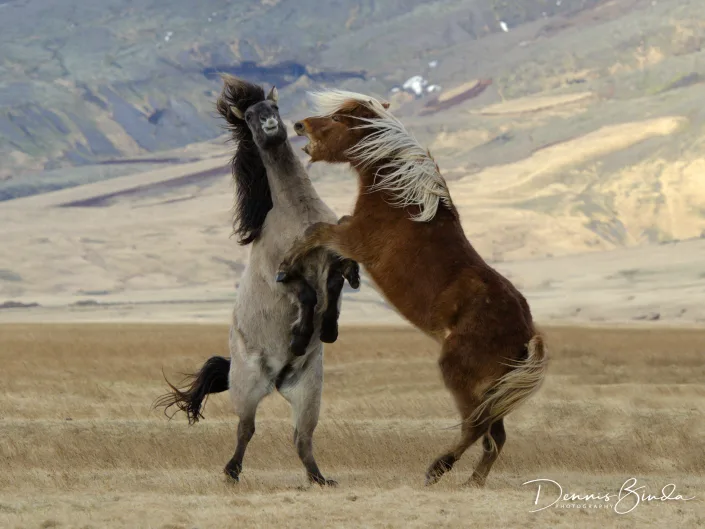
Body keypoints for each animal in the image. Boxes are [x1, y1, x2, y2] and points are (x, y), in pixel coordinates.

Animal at [155, 78, 358, 486]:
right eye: (248, 116)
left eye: (274, 108)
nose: (269, 124)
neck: (298, 213)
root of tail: (277, 379)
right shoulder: (280, 275)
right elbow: (307, 294)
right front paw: (301, 335)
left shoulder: (333, 257)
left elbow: (335, 282)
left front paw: (328, 329)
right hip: (246, 388)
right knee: (245, 429)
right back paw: (231, 472)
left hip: (308, 392)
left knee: (302, 438)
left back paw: (319, 478)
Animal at [276, 90, 547, 487]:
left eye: (339, 119)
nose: (299, 125)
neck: (400, 198)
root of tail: (526, 335)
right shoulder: (350, 234)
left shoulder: (354, 238)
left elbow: (316, 231)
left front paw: (285, 266)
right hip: (491, 388)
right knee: (494, 436)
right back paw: (472, 483)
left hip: (460, 375)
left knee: (475, 426)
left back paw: (437, 469)